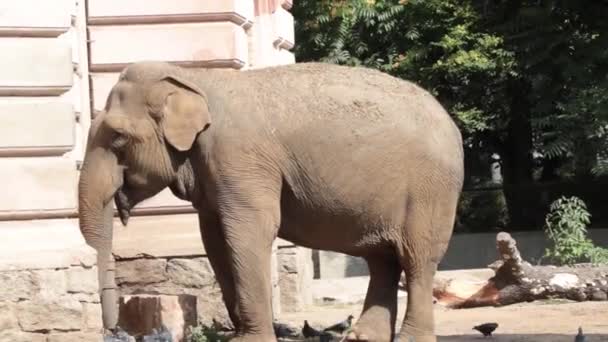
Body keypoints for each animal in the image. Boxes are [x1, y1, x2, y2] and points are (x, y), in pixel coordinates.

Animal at [77, 61, 466, 342]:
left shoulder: (241, 158)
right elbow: (214, 240)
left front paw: (249, 340)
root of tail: (453, 124)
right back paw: (362, 338)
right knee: (382, 260)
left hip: (431, 191)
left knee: (417, 259)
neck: (194, 77)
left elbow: (249, 232)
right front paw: (239, 334)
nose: (113, 329)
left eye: (117, 137)